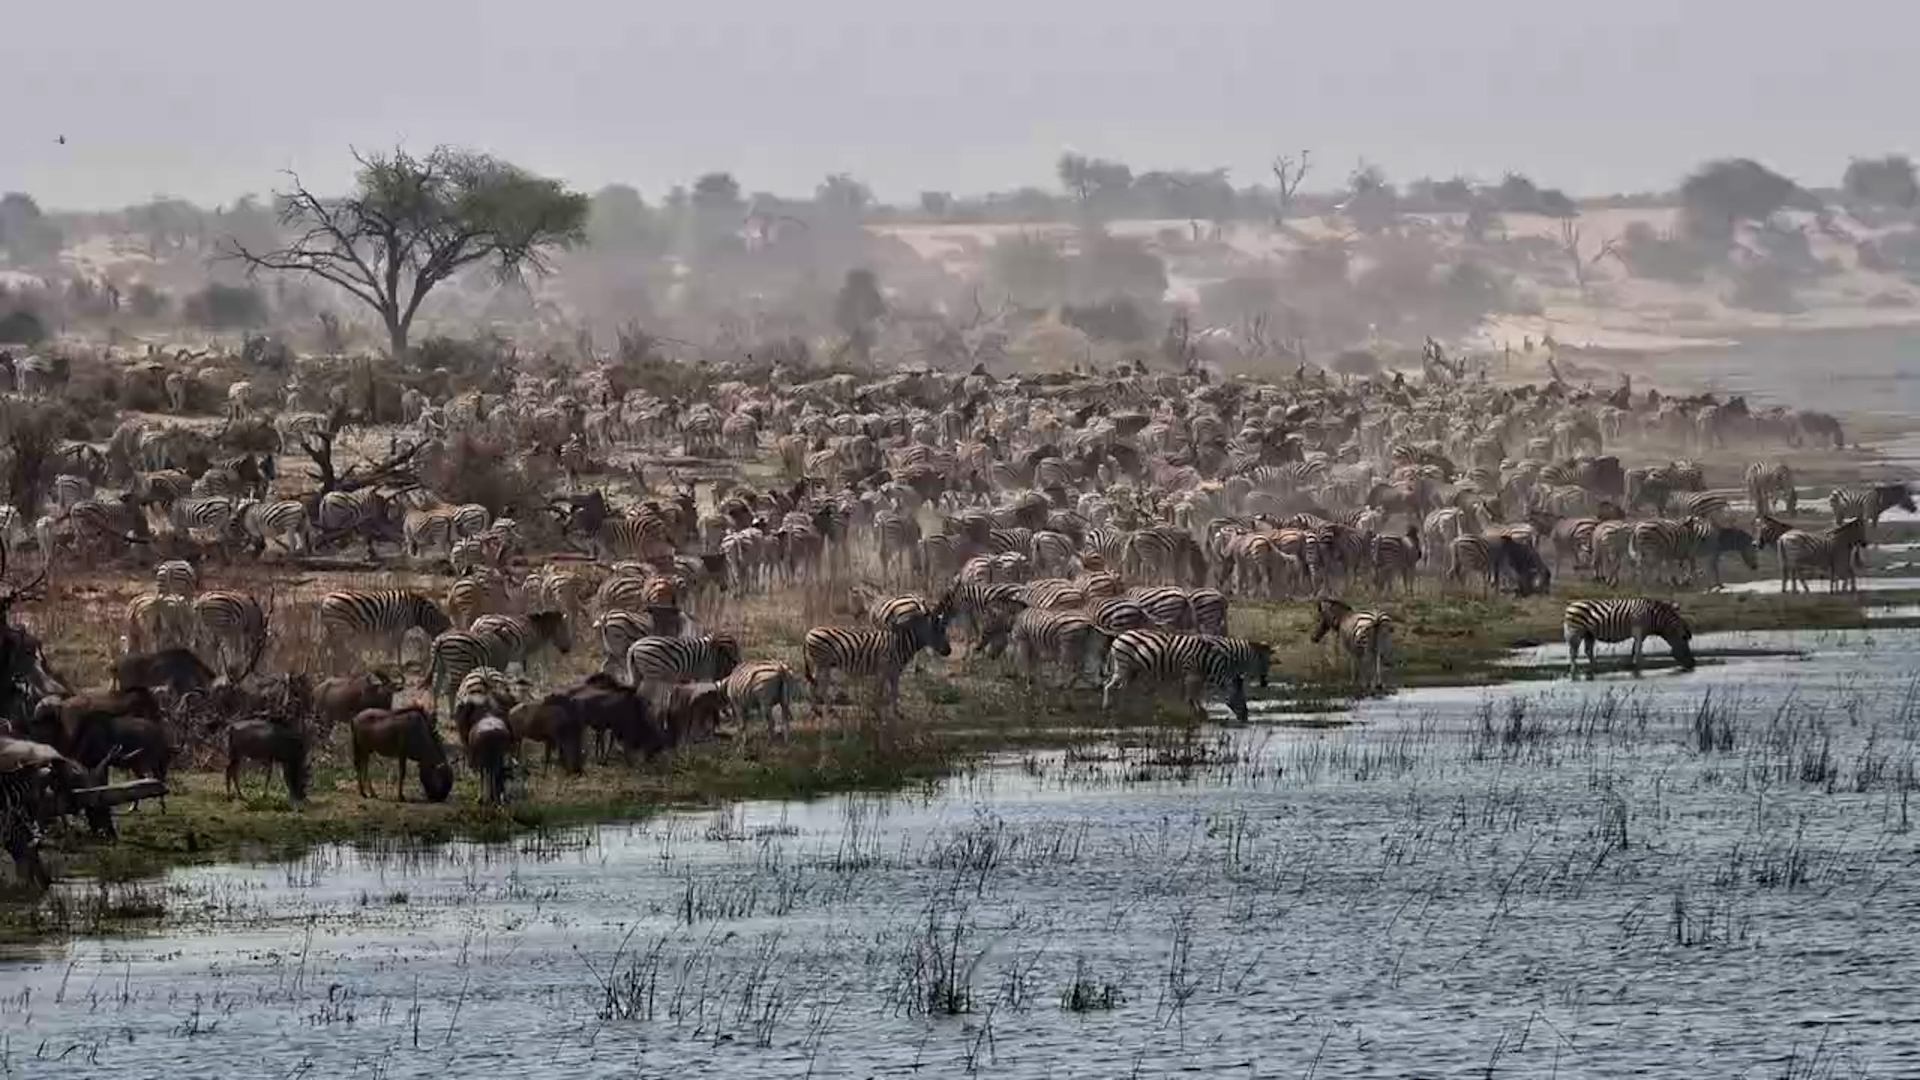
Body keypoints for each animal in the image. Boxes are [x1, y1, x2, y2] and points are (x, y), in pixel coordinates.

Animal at [317, 590, 452, 662]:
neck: (414, 610)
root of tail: (325, 597)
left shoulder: (391, 627)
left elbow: (389, 645)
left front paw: (386, 660)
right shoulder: (399, 625)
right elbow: (396, 645)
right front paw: (396, 663)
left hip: (332, 628)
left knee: (324, 646)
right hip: (339, 627)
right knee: (332, 647)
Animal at [803, 609, 951, 719]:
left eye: (944, 631)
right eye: (938, 631)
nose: (949, 651)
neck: (901, 643)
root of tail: (809, 633)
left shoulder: (895, 671)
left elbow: (894, 692)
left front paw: (897, 713)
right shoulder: (883, 669)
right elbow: (879, 692)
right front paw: (877, 713)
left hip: (819, 664)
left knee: (812, 684)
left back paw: (816, 710)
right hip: (823, 663)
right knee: (821, 686)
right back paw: (831, 711)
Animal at [1100, 630, 1272, 723]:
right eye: (1239, 698)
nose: (1246, 718)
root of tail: (1120, 636)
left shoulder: (1197, 677)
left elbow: (1194, 696)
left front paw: (1199, 713)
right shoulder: (1191, 675)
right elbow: (1191, 697)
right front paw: (1200, 715)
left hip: (1132, 671)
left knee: (1121, 689)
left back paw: (1122, 709)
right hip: (1123, 667)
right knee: (1109, 686)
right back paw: (1107, 707)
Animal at [1563, 598, 1694, 677]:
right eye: (1684, 639)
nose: (1693, 665)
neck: (1653, 618)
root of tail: (1570, 606)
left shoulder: (1641, 634)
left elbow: (1634, 650)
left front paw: (1633, 668)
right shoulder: (1638, 630)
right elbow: (1638, 651)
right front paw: (1639, 669)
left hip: (1588, 634)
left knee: (1588, 651)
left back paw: (1594, 670)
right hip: (1575, 632)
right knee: (1573, 653)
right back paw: (1574, 673)